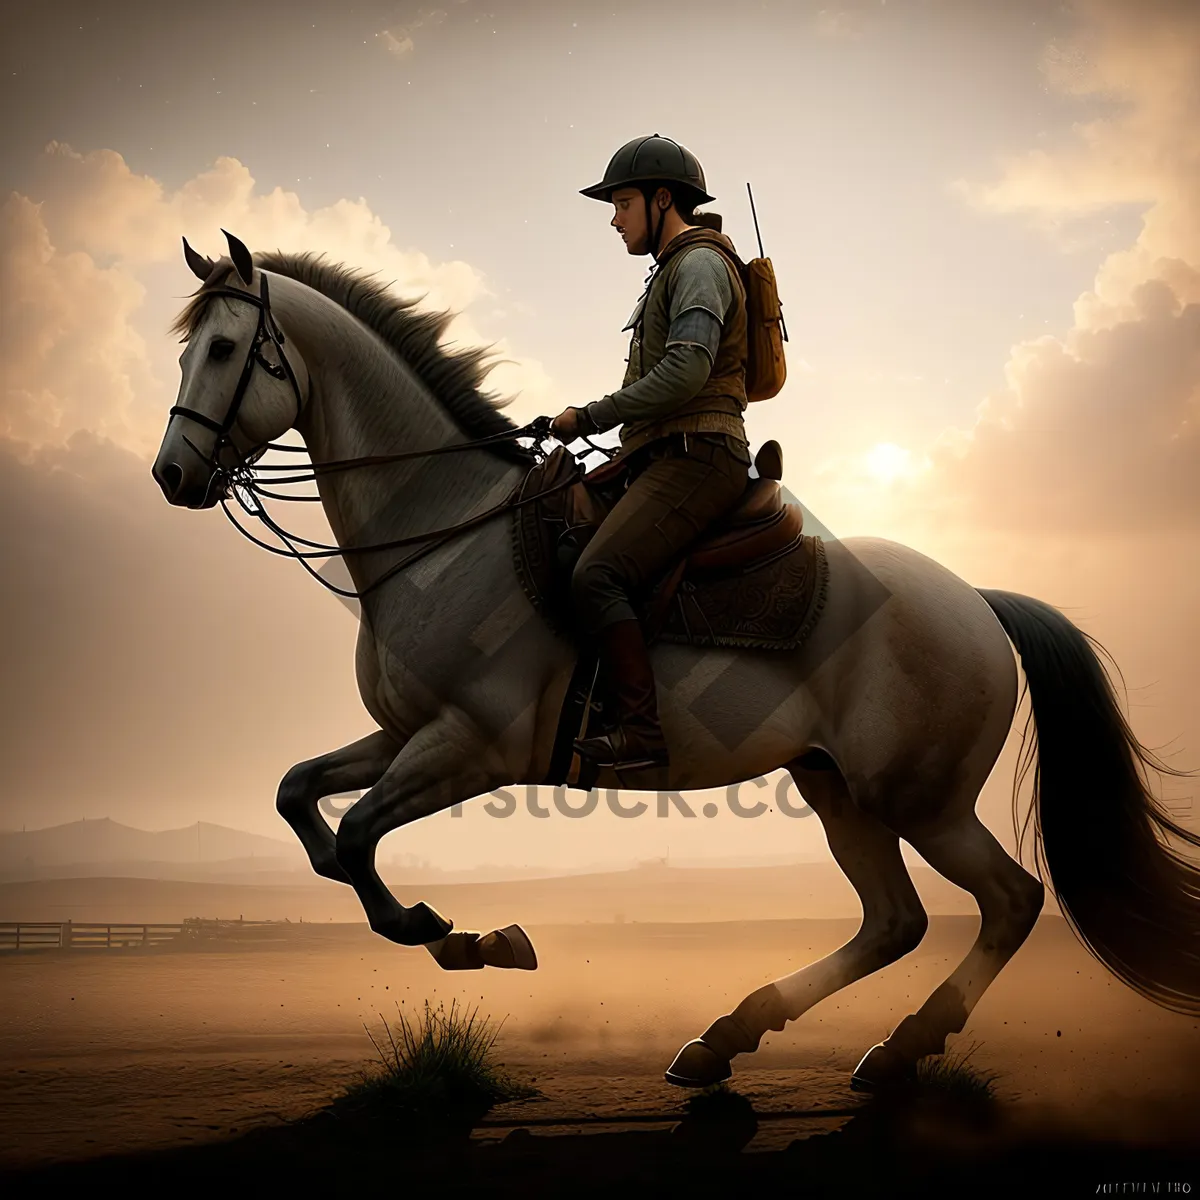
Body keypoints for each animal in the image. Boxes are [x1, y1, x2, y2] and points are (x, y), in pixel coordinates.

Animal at [152, 229, 1200, 1094]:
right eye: (186, 350)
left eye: (223, 350)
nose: (170, 474)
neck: (441, 530)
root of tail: (978, 602)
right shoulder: (404, 733)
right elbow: (303, 804)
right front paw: (463, 935)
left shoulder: (470, 748)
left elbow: (362, 838)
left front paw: (460, 936)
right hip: (836, 787)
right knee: (894, 921)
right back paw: (725, 1041)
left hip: (921, 801)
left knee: (1009, 903)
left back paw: (898, 1049)